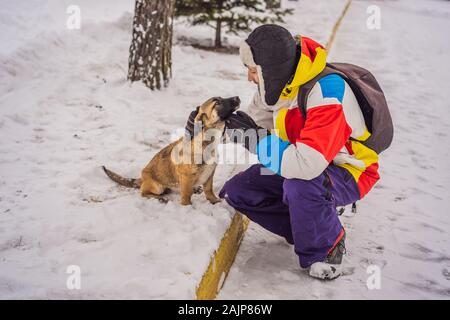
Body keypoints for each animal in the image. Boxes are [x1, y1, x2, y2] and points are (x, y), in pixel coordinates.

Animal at [102, 96, 239, 205]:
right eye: (217, 102)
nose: (237, 97)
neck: (207, 144)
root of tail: (141, 178)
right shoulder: (186, 176)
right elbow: (186, 196)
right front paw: (187, 207)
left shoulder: (209, 173)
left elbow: (209, 190)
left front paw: (214, 200)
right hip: (157, 187)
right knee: (143, 192)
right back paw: (160, 198)